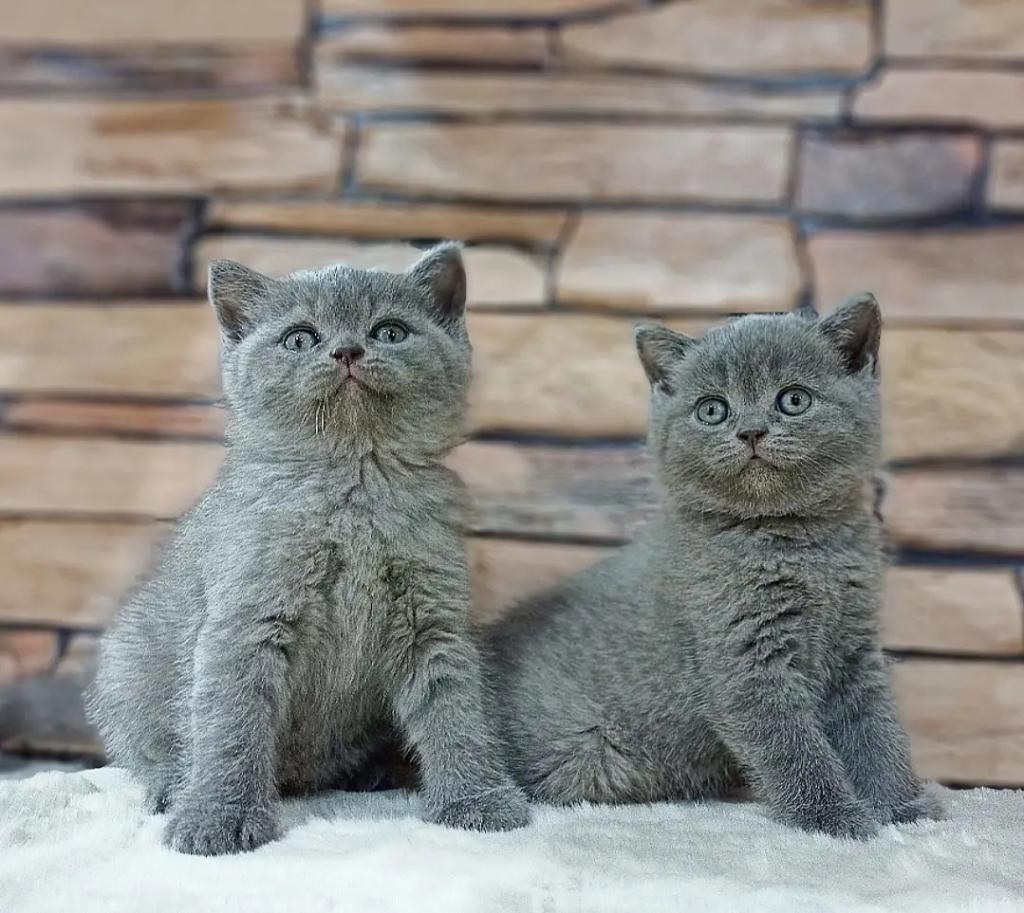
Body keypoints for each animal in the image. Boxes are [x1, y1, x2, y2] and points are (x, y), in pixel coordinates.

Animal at [87, 244, 529, 856]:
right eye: (299, 338)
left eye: (390, 332)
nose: (347, 350)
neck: (354, 482)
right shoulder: (245, 621)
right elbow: (231, 724)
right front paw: (217, 818)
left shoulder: (434, 619)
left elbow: (456, 710)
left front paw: (477, 800)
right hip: (125, 662)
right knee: (143, 750)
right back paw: (171, 786)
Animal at [485, 295, 939, 839]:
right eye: (712, 410)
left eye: (793, 400)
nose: (751, 431)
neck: (796, 543)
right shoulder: (745, 662)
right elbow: (795, 749)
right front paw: (836, 818)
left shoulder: (855, 647)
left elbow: (876, 731)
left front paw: (901, 809)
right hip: (587, 755)